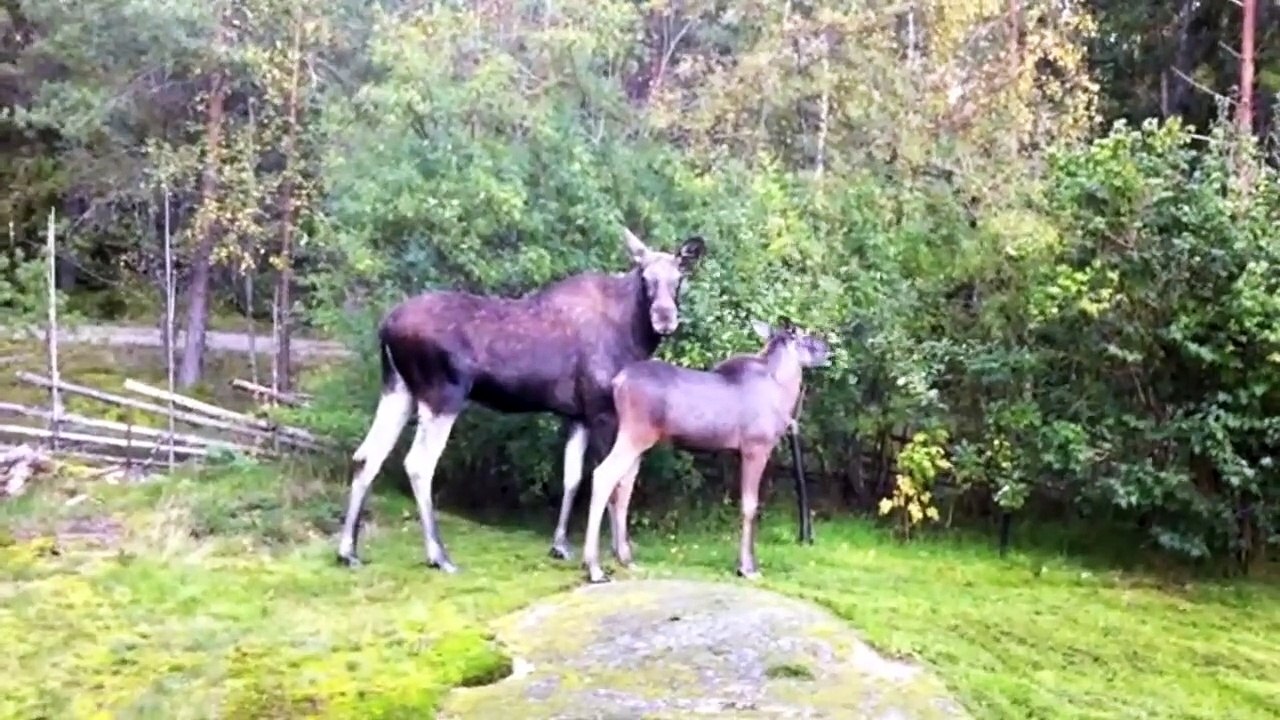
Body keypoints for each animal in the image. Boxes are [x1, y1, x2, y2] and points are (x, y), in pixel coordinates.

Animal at [336, 227, 707, 572]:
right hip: (443, 394)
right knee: (418, 464)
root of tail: (385, 328)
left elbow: (572, 477)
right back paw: (439, 556)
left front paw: (560, 546)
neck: (632, 334)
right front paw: (616, 555)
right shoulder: (603, 410)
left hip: (398, 389)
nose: (665, 318)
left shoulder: (577, 414)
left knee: (367, 455)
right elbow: (612, 482)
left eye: (679, 278)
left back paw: (348, 551)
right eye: (645, 278)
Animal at [580, 318, 831, 584]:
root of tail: (616, 382)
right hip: (635, 434)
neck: (782, 390)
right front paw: (747, 568)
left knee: (623, 486)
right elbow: (750, 506)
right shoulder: (756, 447)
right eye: (803, 336)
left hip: (637, 441)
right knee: (603, 475)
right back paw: (594, 567)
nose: (827, 349)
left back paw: (625, 559)